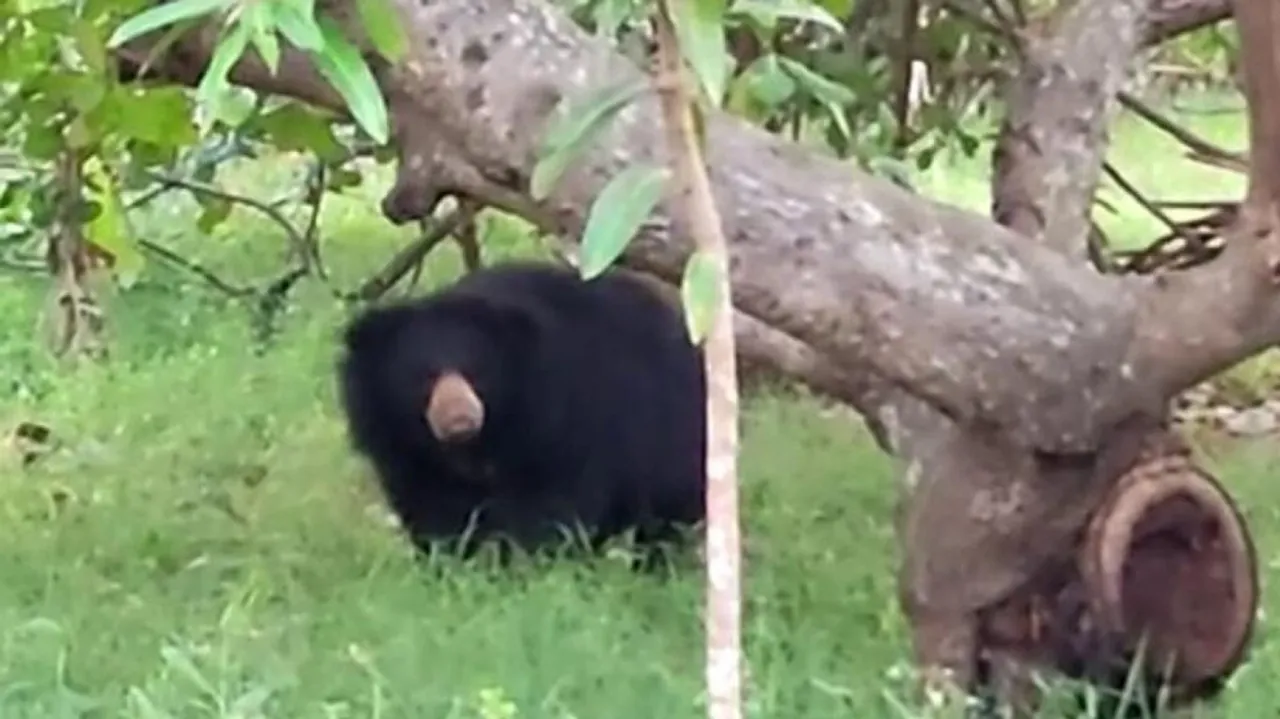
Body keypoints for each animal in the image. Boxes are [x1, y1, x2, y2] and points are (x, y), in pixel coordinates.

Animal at [336, 261, 707, 566]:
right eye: (423, 377)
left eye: (475, 372)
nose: (459, 418)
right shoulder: (399, 443)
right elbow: (433, 506)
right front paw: (450, 563)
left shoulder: (563, 420)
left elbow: (551, 503)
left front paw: (526, 564)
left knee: (667, 514)